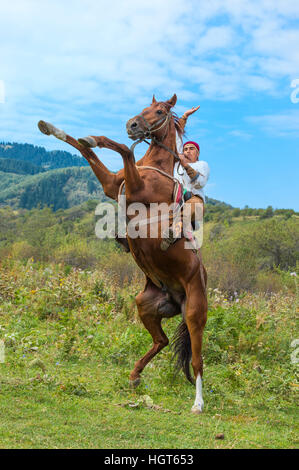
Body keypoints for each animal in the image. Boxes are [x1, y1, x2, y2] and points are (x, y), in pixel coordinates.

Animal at [38, 93, 209, 414]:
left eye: (160, 111)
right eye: (144, 107)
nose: (133, 125)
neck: (153, 166)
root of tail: (179, 293)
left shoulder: (136, 187)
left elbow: (124, 151)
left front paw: (96, 138)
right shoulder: (111, 184)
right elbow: (84, 148)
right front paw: (55, 129)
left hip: (195, 312)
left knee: (197, 360)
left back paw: (198, 404)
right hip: (146, 305)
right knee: (162, 340)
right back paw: (135, 375)